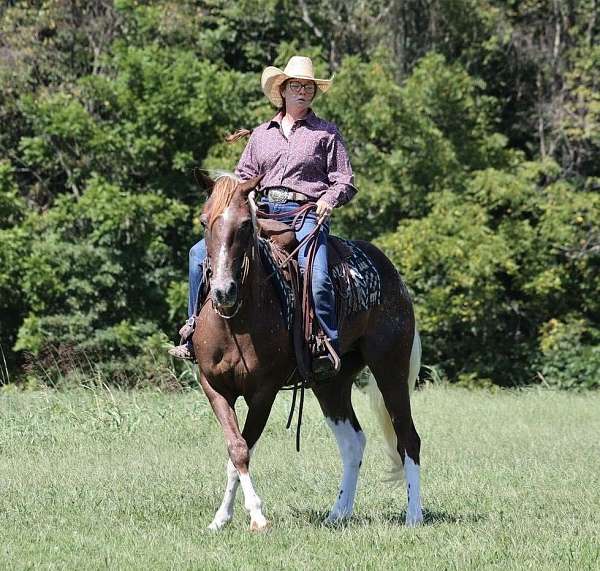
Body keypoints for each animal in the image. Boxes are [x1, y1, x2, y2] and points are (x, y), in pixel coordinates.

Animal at [192, 173, 422, 532]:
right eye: (204, 221)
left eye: (245, 225)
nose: (223, 291)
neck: (235, 322)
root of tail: (393, 276)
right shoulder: (213, 386)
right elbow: (235, 449)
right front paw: (221, 519)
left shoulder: (264, 391)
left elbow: (244, 449)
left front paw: (257, 516)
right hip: (330, 383)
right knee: (353, 443)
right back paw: (338, 513)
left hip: (391, 370)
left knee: (408, 438)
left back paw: (414, 516)